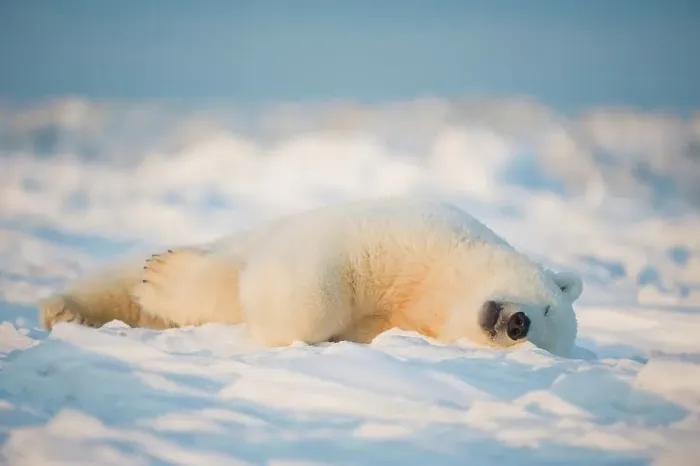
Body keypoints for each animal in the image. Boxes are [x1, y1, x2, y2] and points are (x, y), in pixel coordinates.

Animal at [39, 197, 583, 357]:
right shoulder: (418, 234)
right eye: (546, 306)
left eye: (536, 339)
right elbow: (328, 267)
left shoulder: (381, 326)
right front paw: (165, 277)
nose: (516, 323)